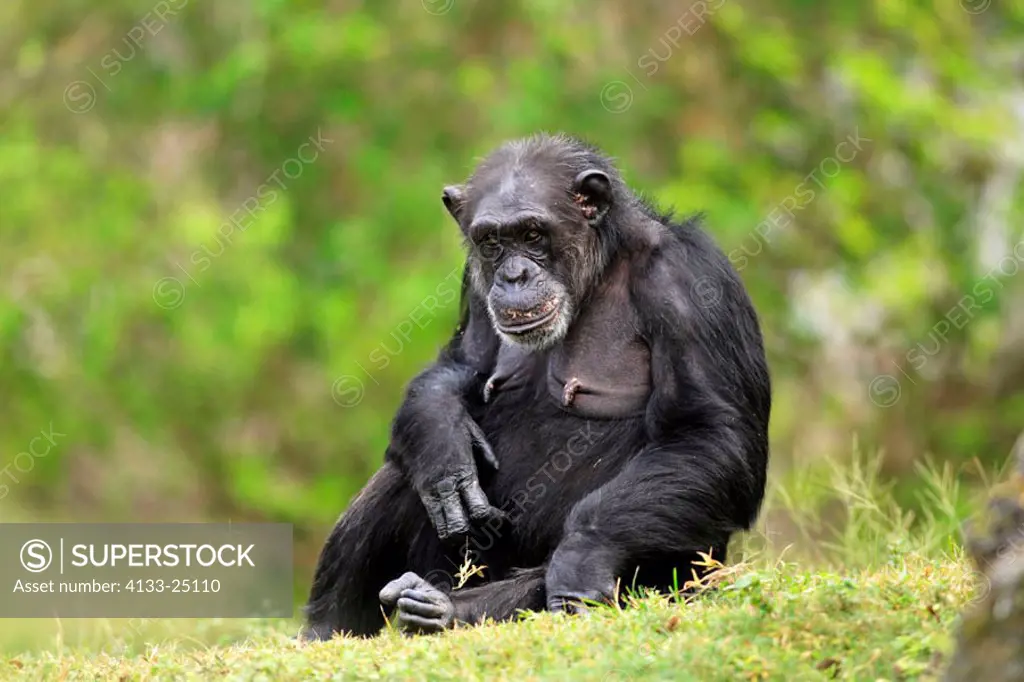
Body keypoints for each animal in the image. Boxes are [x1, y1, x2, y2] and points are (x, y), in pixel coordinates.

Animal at [303, 134, 770, 638]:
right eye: (492, 242)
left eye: (532, 235)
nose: (513, 275)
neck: (599, 268)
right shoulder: (473, 281)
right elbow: (464, 364)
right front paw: (443, 445)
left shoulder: (688, 283)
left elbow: (708, 433)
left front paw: (580, 558)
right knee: (403, 471)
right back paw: (329, 625)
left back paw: (443, 610)